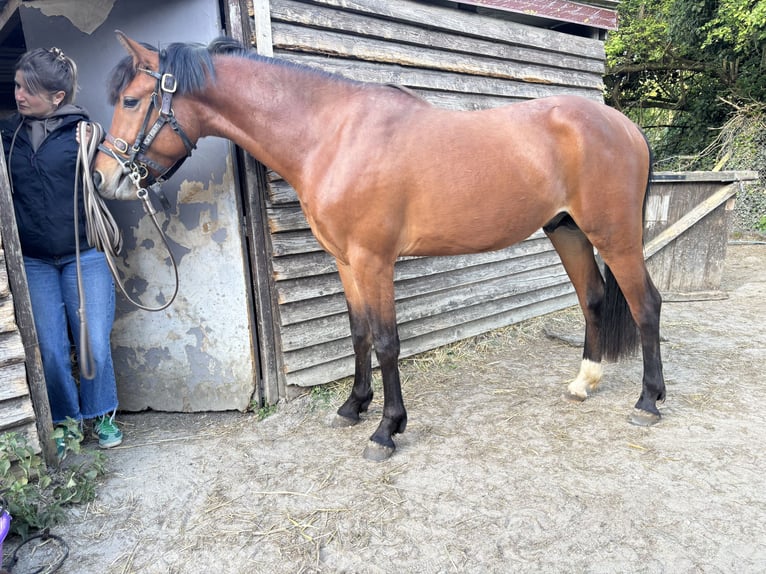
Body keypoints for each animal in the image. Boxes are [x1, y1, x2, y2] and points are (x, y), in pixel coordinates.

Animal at [93, 32, 665, 461]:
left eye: (131, 100)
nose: (102, 178)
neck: (334, 135)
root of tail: (626, 126)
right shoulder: (346, 261)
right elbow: (359, 333)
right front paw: (353, 406)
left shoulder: (374, 261)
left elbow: (388, 341)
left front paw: (387, 429)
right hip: (567, 230)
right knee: (593, 298)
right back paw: (585, 381)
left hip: (615, 236)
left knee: (646, 305)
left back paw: (649, 401)